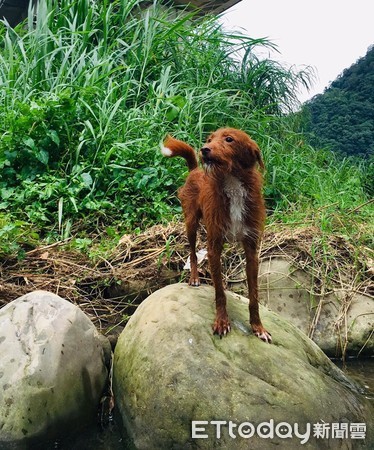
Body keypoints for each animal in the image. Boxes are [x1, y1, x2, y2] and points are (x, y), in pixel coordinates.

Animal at [162, 126, 270, 342]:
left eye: (229, 139)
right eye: (209, 139)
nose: (204, 149)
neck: (232, 181)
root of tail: (195, 170)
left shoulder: (251, 250)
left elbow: (253, 295)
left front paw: (258, 327)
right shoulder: (214, 247)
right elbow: (219, 291)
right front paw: (222, 322)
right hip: (191, 223)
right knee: (193, 252)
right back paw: (194, 277)